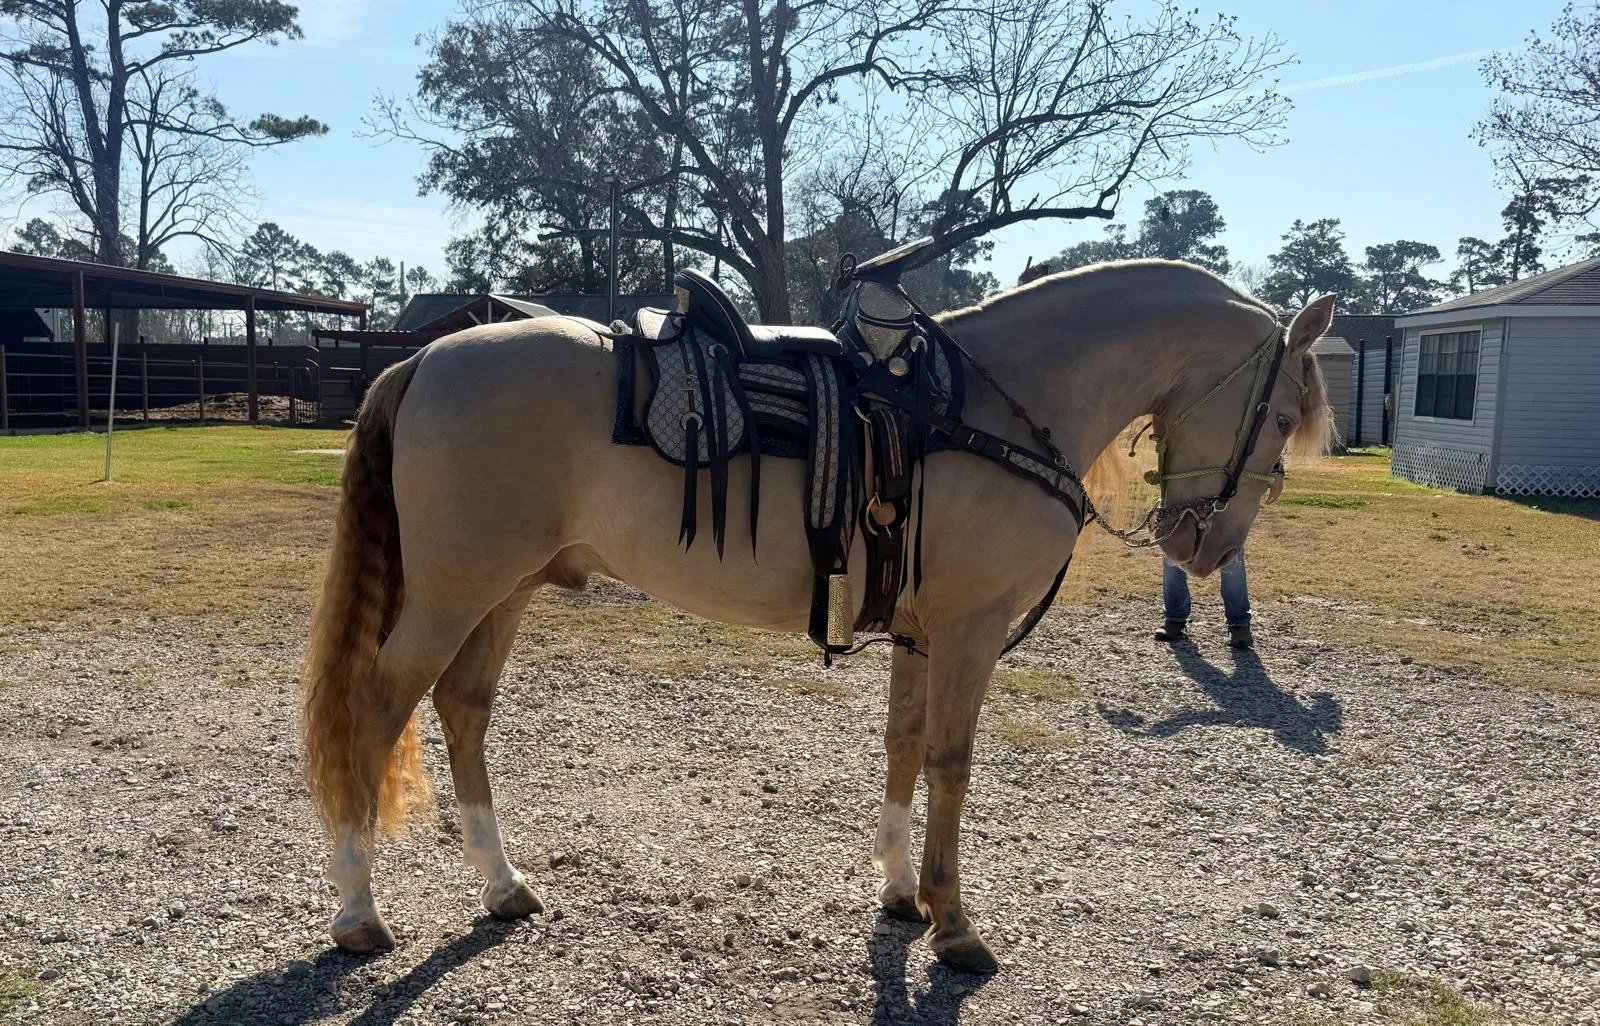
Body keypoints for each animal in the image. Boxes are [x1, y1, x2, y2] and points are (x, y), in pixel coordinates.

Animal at [299, 259, 1335, 972]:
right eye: (1284, 413)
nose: (1204, 548)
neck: (992, 406)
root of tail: (425, 358)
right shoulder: (970, 630)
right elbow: (952, 763)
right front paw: (955, 924)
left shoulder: (922, 631)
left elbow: (905, 744)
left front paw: (901, 893)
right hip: (456, 592)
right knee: (378, 708)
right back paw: (357, 911)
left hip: (505, 589)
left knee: (462, 709)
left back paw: (502, 885)